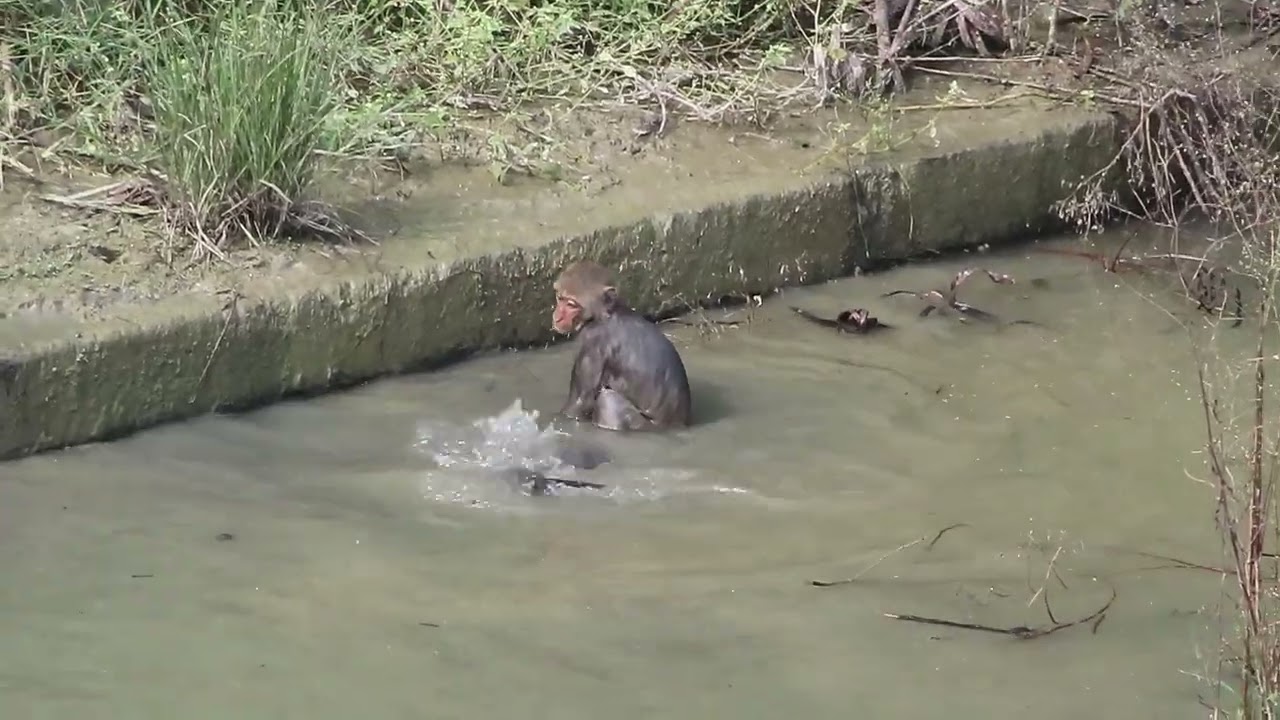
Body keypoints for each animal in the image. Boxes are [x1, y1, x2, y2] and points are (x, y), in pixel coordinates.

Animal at [552, 260, 693, 432]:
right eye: (559, 297)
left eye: (572, 304)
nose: (558, 317)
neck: (606, 313)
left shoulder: (592, 342)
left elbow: (580, 402)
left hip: (641, 424)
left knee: (608, 400)